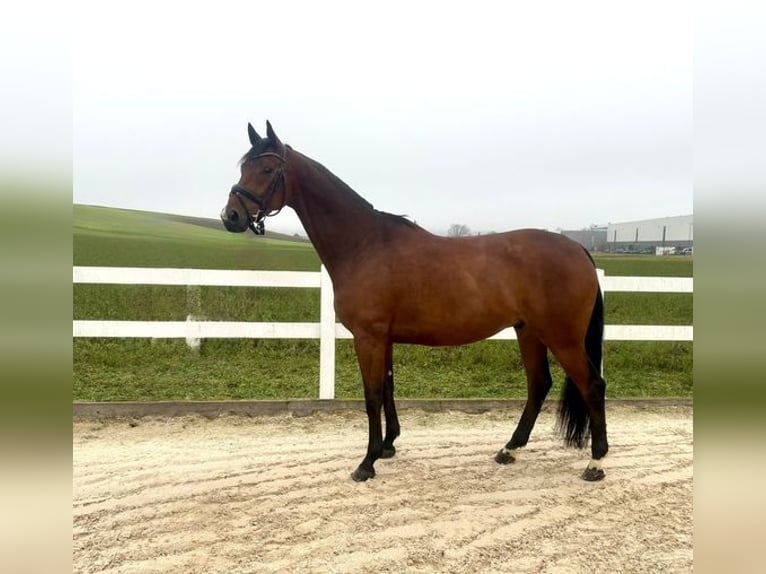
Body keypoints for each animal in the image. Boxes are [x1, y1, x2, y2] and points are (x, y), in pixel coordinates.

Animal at [221, 121, 608, 482]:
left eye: (267, 169)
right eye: (243, 167)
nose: (231, 216)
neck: (364, 244)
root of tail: (577, 248)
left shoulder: (369, 338)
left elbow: (372, 395)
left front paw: (367, 463)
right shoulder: (385, 339)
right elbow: (388, 387)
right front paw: (388, 445)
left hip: (562, 338)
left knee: (592, 385)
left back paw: (596, 462)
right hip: (528, 331)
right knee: (538, 385)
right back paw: (509, 449)